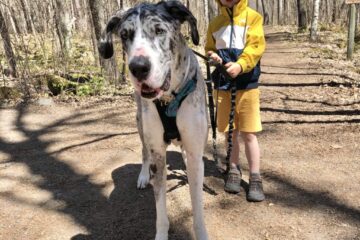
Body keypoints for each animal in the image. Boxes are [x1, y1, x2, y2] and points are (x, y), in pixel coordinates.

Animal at [100, 0, 210, 239]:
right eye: (124, 34)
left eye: (159, 30)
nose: (138, 67)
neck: (170, 99)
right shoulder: (158, 154)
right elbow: (161, 212)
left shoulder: (195, 152)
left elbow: (198, 211)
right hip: (141, 124)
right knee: (144, 152)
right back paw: (143, 176)